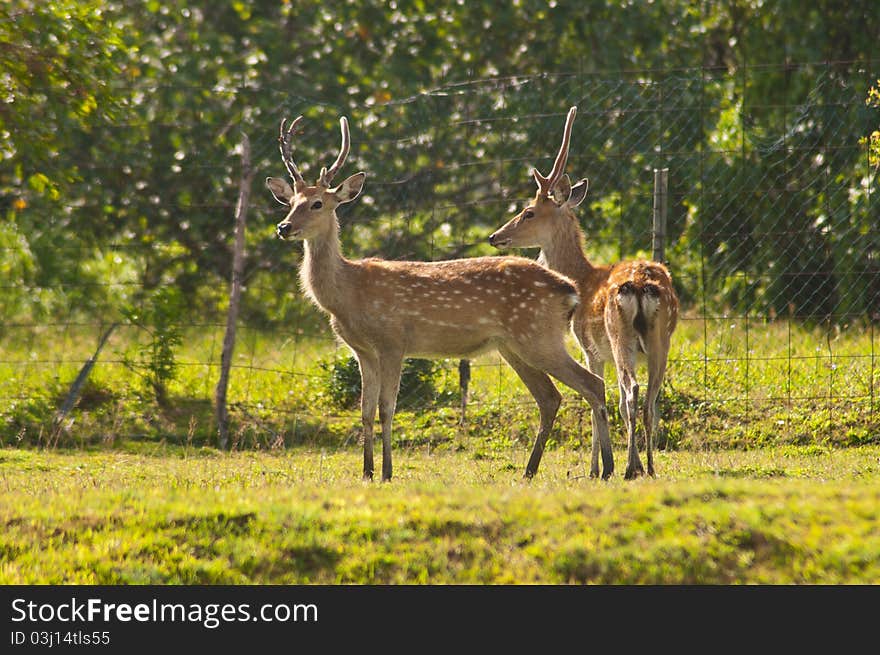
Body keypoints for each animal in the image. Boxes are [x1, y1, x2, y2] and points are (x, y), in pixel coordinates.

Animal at [264, 114, 616, 482]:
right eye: (291, 203)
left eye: (317, 203)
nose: (284, 227)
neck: (348, 294)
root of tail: (569, 289)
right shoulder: (362, 350)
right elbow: (365, 411)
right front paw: (367, 471)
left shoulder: (393, 340)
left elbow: (387, 409)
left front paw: (387, 471)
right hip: (512, 345)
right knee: (550, 396)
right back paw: (532, 470)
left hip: (538, 336)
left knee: (592, 384)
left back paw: (607, 467)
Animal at [488, 106, 680, 476]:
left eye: (528, 212)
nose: (495, 236)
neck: (583, 278)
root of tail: (642, 285)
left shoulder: (590, 348)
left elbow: (597, 401)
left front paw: (594, 468)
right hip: (661, 338)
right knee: (652, 398)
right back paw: (649, 467)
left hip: (620, 337)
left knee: (630, 393)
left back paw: (631, 467)